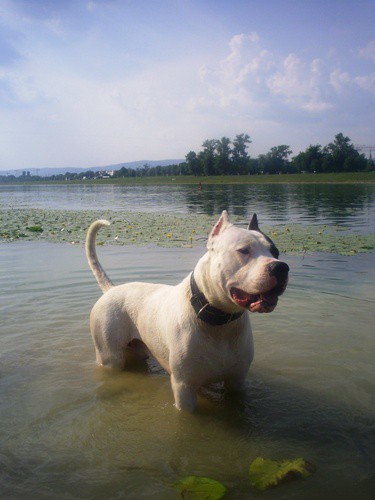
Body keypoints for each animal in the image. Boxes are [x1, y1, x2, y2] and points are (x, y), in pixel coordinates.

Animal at [86, 211, 290, 410]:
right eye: (244, 250)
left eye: (276, 252)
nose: (280, 267)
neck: (219, 321)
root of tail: (111, 289)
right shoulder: (184, 387)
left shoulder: (237, 381)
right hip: (109, 355)